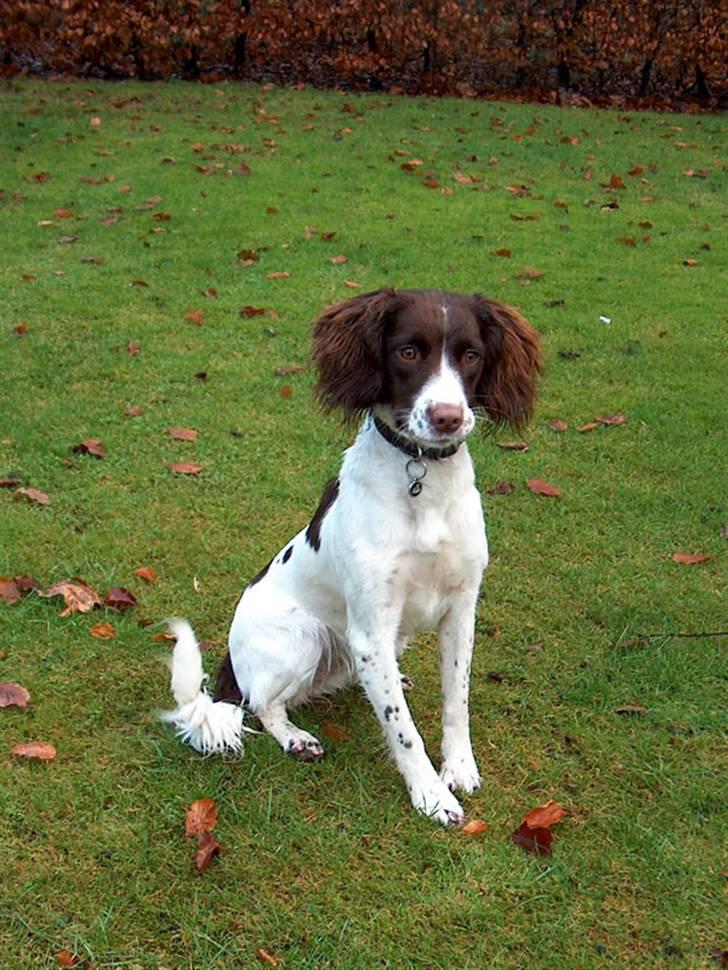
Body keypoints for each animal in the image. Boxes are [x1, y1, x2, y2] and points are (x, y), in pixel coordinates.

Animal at [165, 288, 540, 824]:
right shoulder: (371, 627)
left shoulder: (461, 609)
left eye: (471, 355)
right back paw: (295, 738)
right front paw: (430, 794)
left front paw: (459, 768)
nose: (448, 418)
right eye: (408, 352)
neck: (422, 484)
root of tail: (231, 665)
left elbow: (457, 700)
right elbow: (404, 730)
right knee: (262, 704)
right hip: (304, 638)